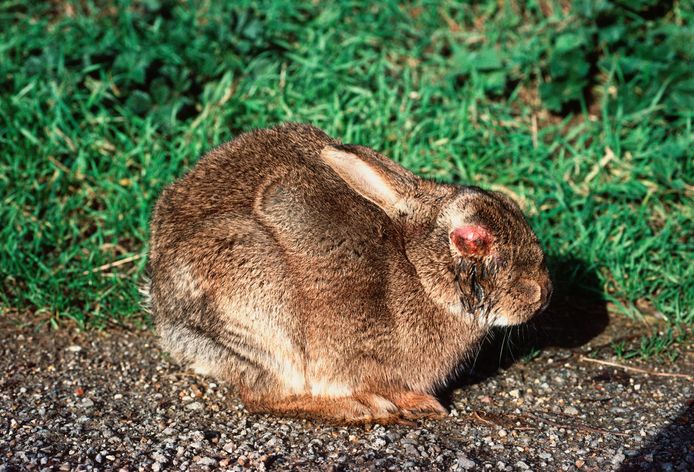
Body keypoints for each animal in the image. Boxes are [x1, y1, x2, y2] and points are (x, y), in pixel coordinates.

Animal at [148, 122, 556, 424]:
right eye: (472, 240)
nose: (543, 292)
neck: (417, 270)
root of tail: (166, 316)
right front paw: (414, 402)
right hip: (261, 312)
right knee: (263, 396)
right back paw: (362, 408)